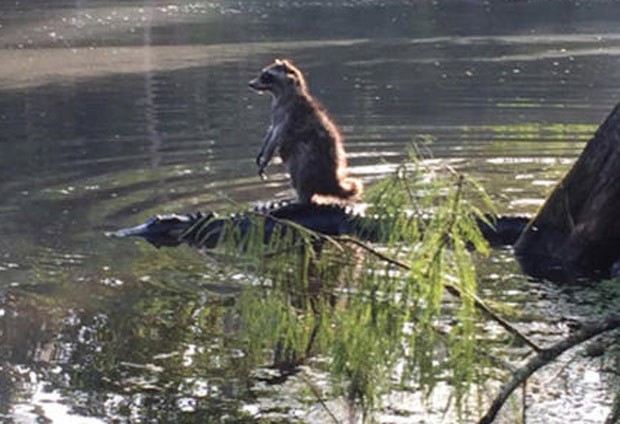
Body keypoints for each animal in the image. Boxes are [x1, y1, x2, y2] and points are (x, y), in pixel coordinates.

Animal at [248, 58, 360, 205]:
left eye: (266, 75)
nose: (250, 84)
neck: (280, 93)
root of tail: (331, 182)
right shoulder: (276, 112)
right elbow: (271, 130)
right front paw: (262, 151)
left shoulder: (288, 113)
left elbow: (276, 135)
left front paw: (266, 157)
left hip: (312, 161)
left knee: (300, 165)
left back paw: (301, 197)